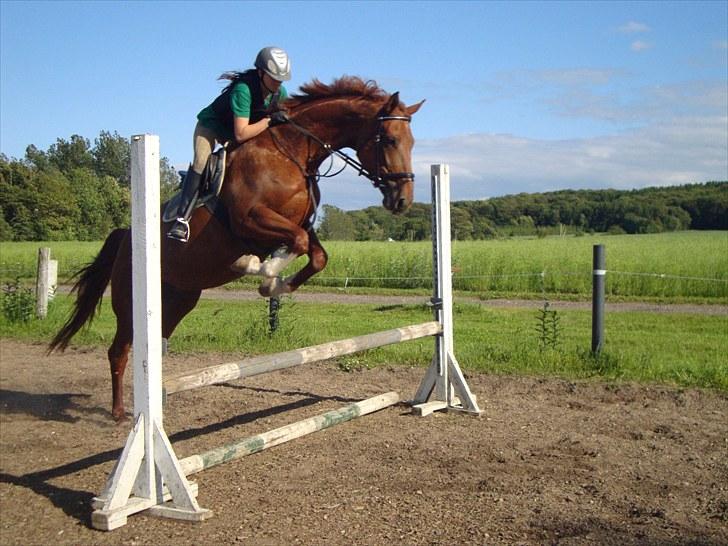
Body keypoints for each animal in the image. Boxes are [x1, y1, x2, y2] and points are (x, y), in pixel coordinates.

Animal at [48, 75, 424, 420]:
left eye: (412, 142)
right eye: (390, 139)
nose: (402, 200)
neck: (291, 153)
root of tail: (127, 235)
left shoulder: (298, 225)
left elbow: (316, 255)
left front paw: (274, 283)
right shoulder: (251, 220)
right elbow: (296, 245)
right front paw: (257, 269)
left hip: (179, 297)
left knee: (154, 342)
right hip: (131, 302)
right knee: (119, 350)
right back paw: (120, 413)